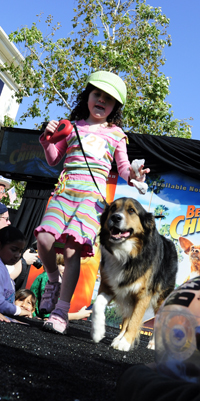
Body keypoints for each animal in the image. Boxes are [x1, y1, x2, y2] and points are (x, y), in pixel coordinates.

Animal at [91, 197, 177, 350]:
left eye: (131, 210)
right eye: (113, 208)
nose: (115, 217)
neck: (126, 254)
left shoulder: (143, 295)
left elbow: (135, 320)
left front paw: (125, 343)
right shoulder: (110, 285)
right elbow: (97, 304)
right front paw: (98, 331)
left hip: (160, 298)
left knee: (157, 318)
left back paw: (152, 343)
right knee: (126, 319)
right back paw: (118, 337)